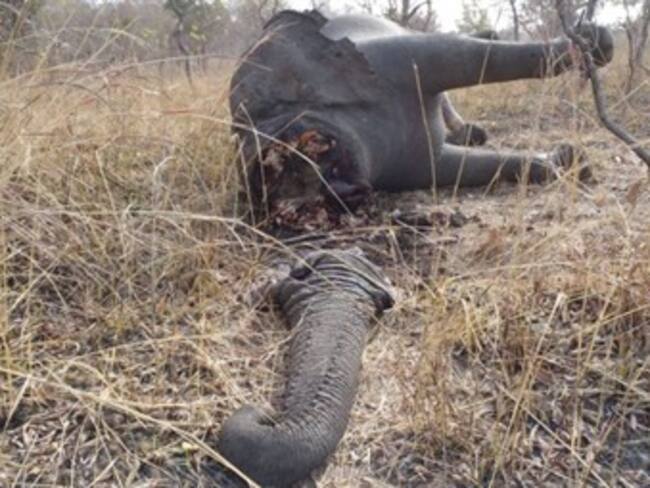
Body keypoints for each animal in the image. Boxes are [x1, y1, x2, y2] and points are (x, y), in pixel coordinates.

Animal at [230, 10, 613, 216]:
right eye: (314, 201)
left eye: (315, 159)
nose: (342, 192)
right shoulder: (428, 165)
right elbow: (505, 165)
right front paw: (562, 162)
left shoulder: (411, 57)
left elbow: (486, 57)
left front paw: (589, 44)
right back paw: (467, 131)